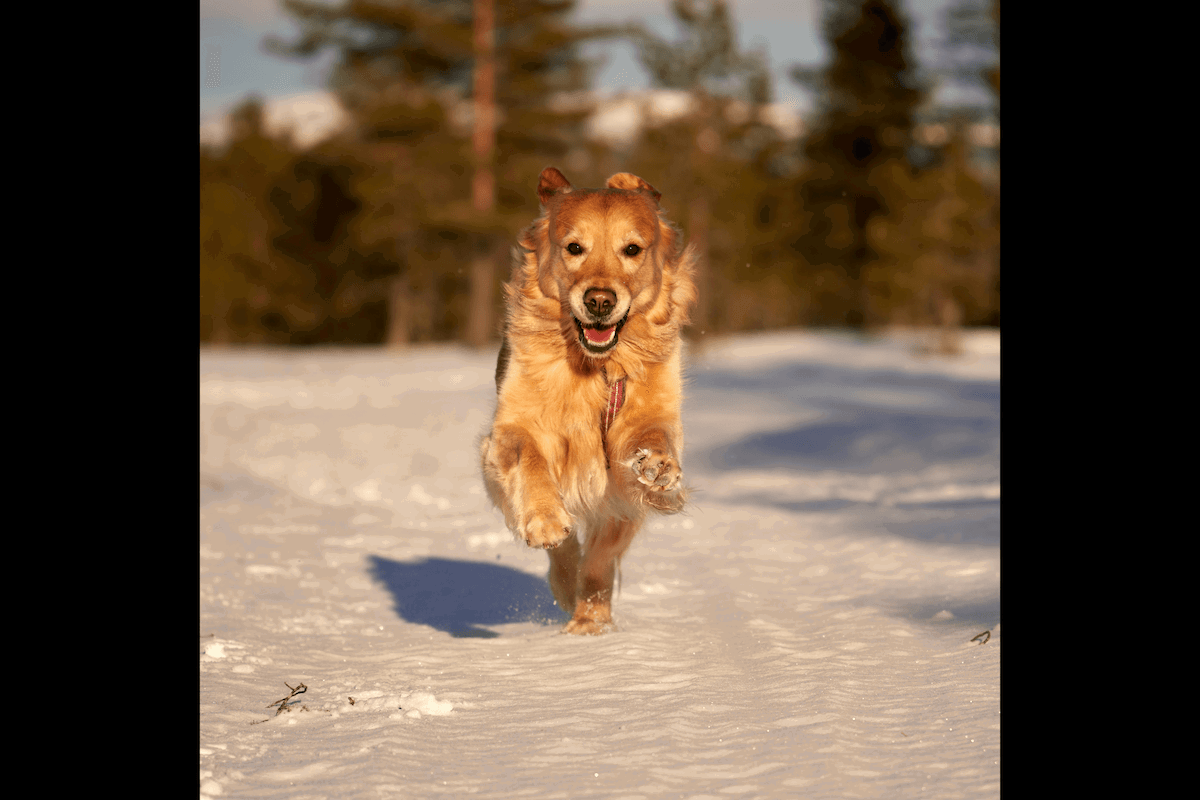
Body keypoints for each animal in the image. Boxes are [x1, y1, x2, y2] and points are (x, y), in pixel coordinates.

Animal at [480, 165, 700, 633]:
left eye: (632, 249)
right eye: (574, 248)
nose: (600, 301)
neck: (595, 368)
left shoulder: (639, 442)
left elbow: (651, 439)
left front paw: (657, 466)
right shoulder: (509, 429)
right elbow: (529, 457)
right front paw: (546, 521)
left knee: (600, 554)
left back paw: (588, 621)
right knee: (566, 553)